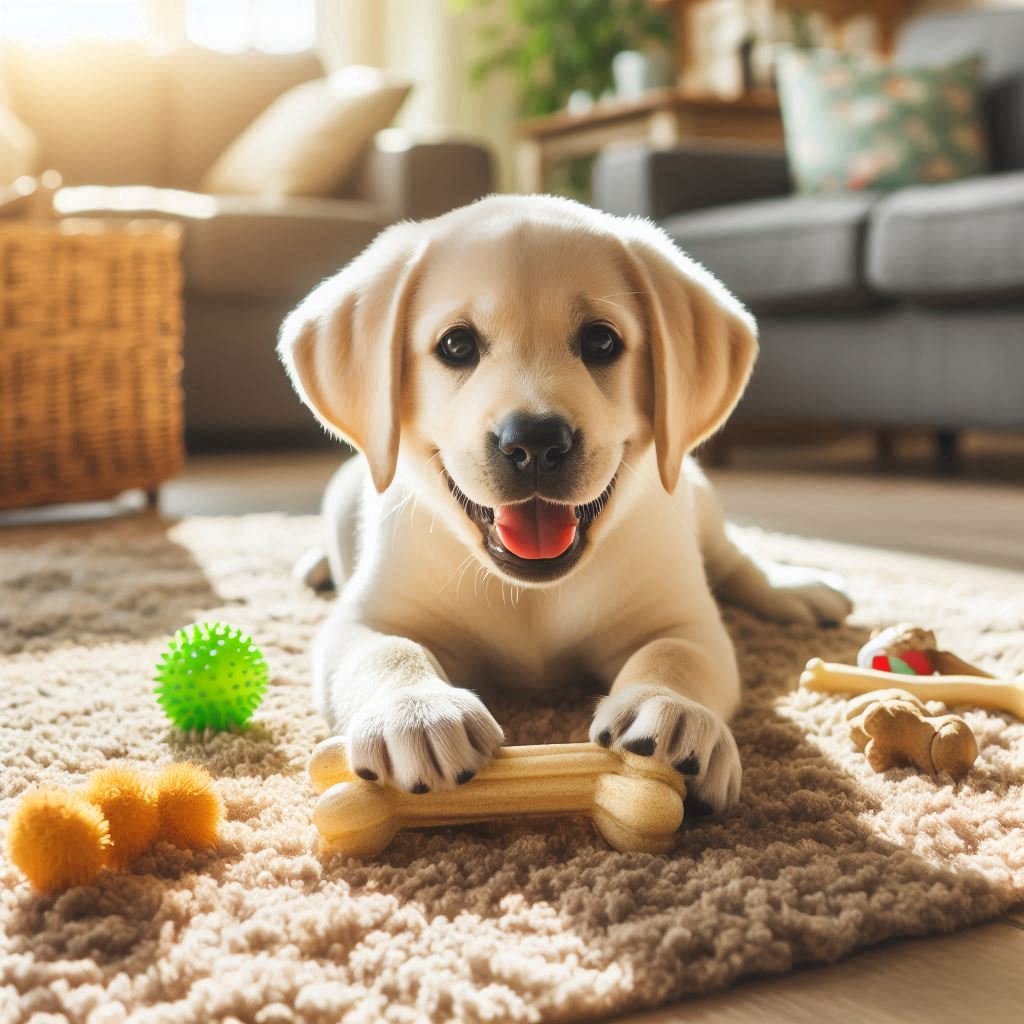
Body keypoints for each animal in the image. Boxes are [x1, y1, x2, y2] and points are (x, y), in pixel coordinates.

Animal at [278, 193, 847, 815]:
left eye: (601, 342)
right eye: (456, 345)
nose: (534, 442)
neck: (533, 595)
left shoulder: (684, 617)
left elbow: (677, 654)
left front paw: (673, 712)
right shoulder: (365, 617)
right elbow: (386, 650)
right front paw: (417, 713)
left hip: (697, 494)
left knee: (735, 557)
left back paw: (794, 588)